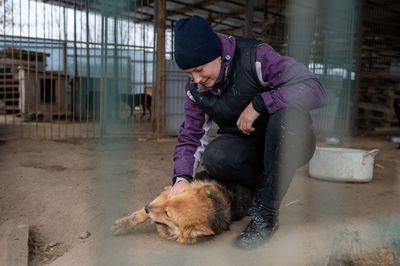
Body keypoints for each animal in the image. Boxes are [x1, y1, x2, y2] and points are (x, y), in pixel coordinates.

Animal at [111, 171, 252, 244]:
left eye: (167, 214)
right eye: (169, 201)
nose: (146, 207)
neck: (214, 206)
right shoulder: (168, 193)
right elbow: (140, 215)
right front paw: (124, 224)